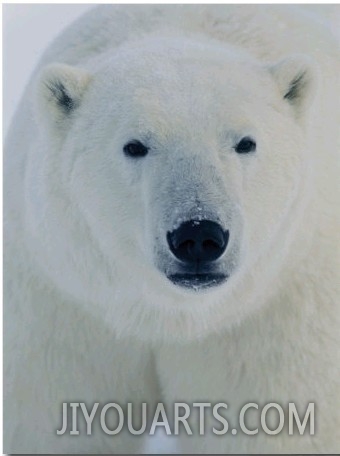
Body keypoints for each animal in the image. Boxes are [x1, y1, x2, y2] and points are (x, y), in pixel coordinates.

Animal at [3, 4, 340, 456]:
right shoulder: (65, 303)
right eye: (135, 145)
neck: (170, 315)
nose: (198, 236)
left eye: (245, 142)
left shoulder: (273, 315)